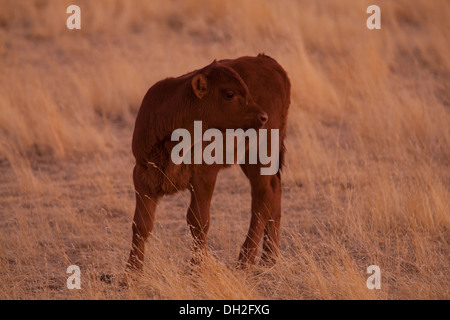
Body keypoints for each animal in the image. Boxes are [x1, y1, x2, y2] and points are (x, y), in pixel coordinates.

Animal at [125, 54, 292, 270]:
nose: (263, 116)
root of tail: (268, 62)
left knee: (263, 195)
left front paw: (196, 267)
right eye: (229, 94)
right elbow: (141, 223)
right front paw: (131, 272)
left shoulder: (204, 175)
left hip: (260, 154)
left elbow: (198, 220)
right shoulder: (142, 173)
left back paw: (245, 261)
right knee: (275, 190)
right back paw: (269, 259)